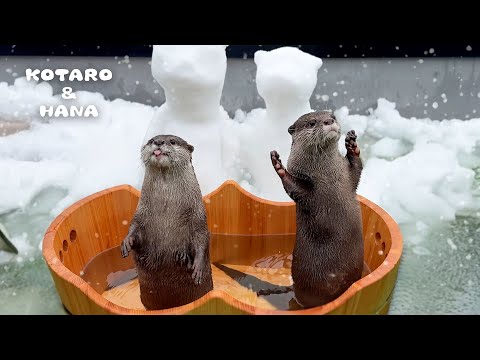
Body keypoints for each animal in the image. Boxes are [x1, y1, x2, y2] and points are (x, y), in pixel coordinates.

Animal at [122, 134, 214, 310]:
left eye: (172, 141)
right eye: (151, 141)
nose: (158, 142)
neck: (167, 208)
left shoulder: (198, 216)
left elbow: (201, 238)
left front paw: (198, 268)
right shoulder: (141, 213)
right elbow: (135, 227)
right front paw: (127, 242)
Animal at [270, 111, 364, 308]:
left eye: (333, 116)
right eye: (312, 123)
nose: (329, 121)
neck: (327, 176)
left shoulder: (347, 176)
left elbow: (357, 168)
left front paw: (352, 145)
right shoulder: (305, 189)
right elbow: (292, 187)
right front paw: (278, 166)